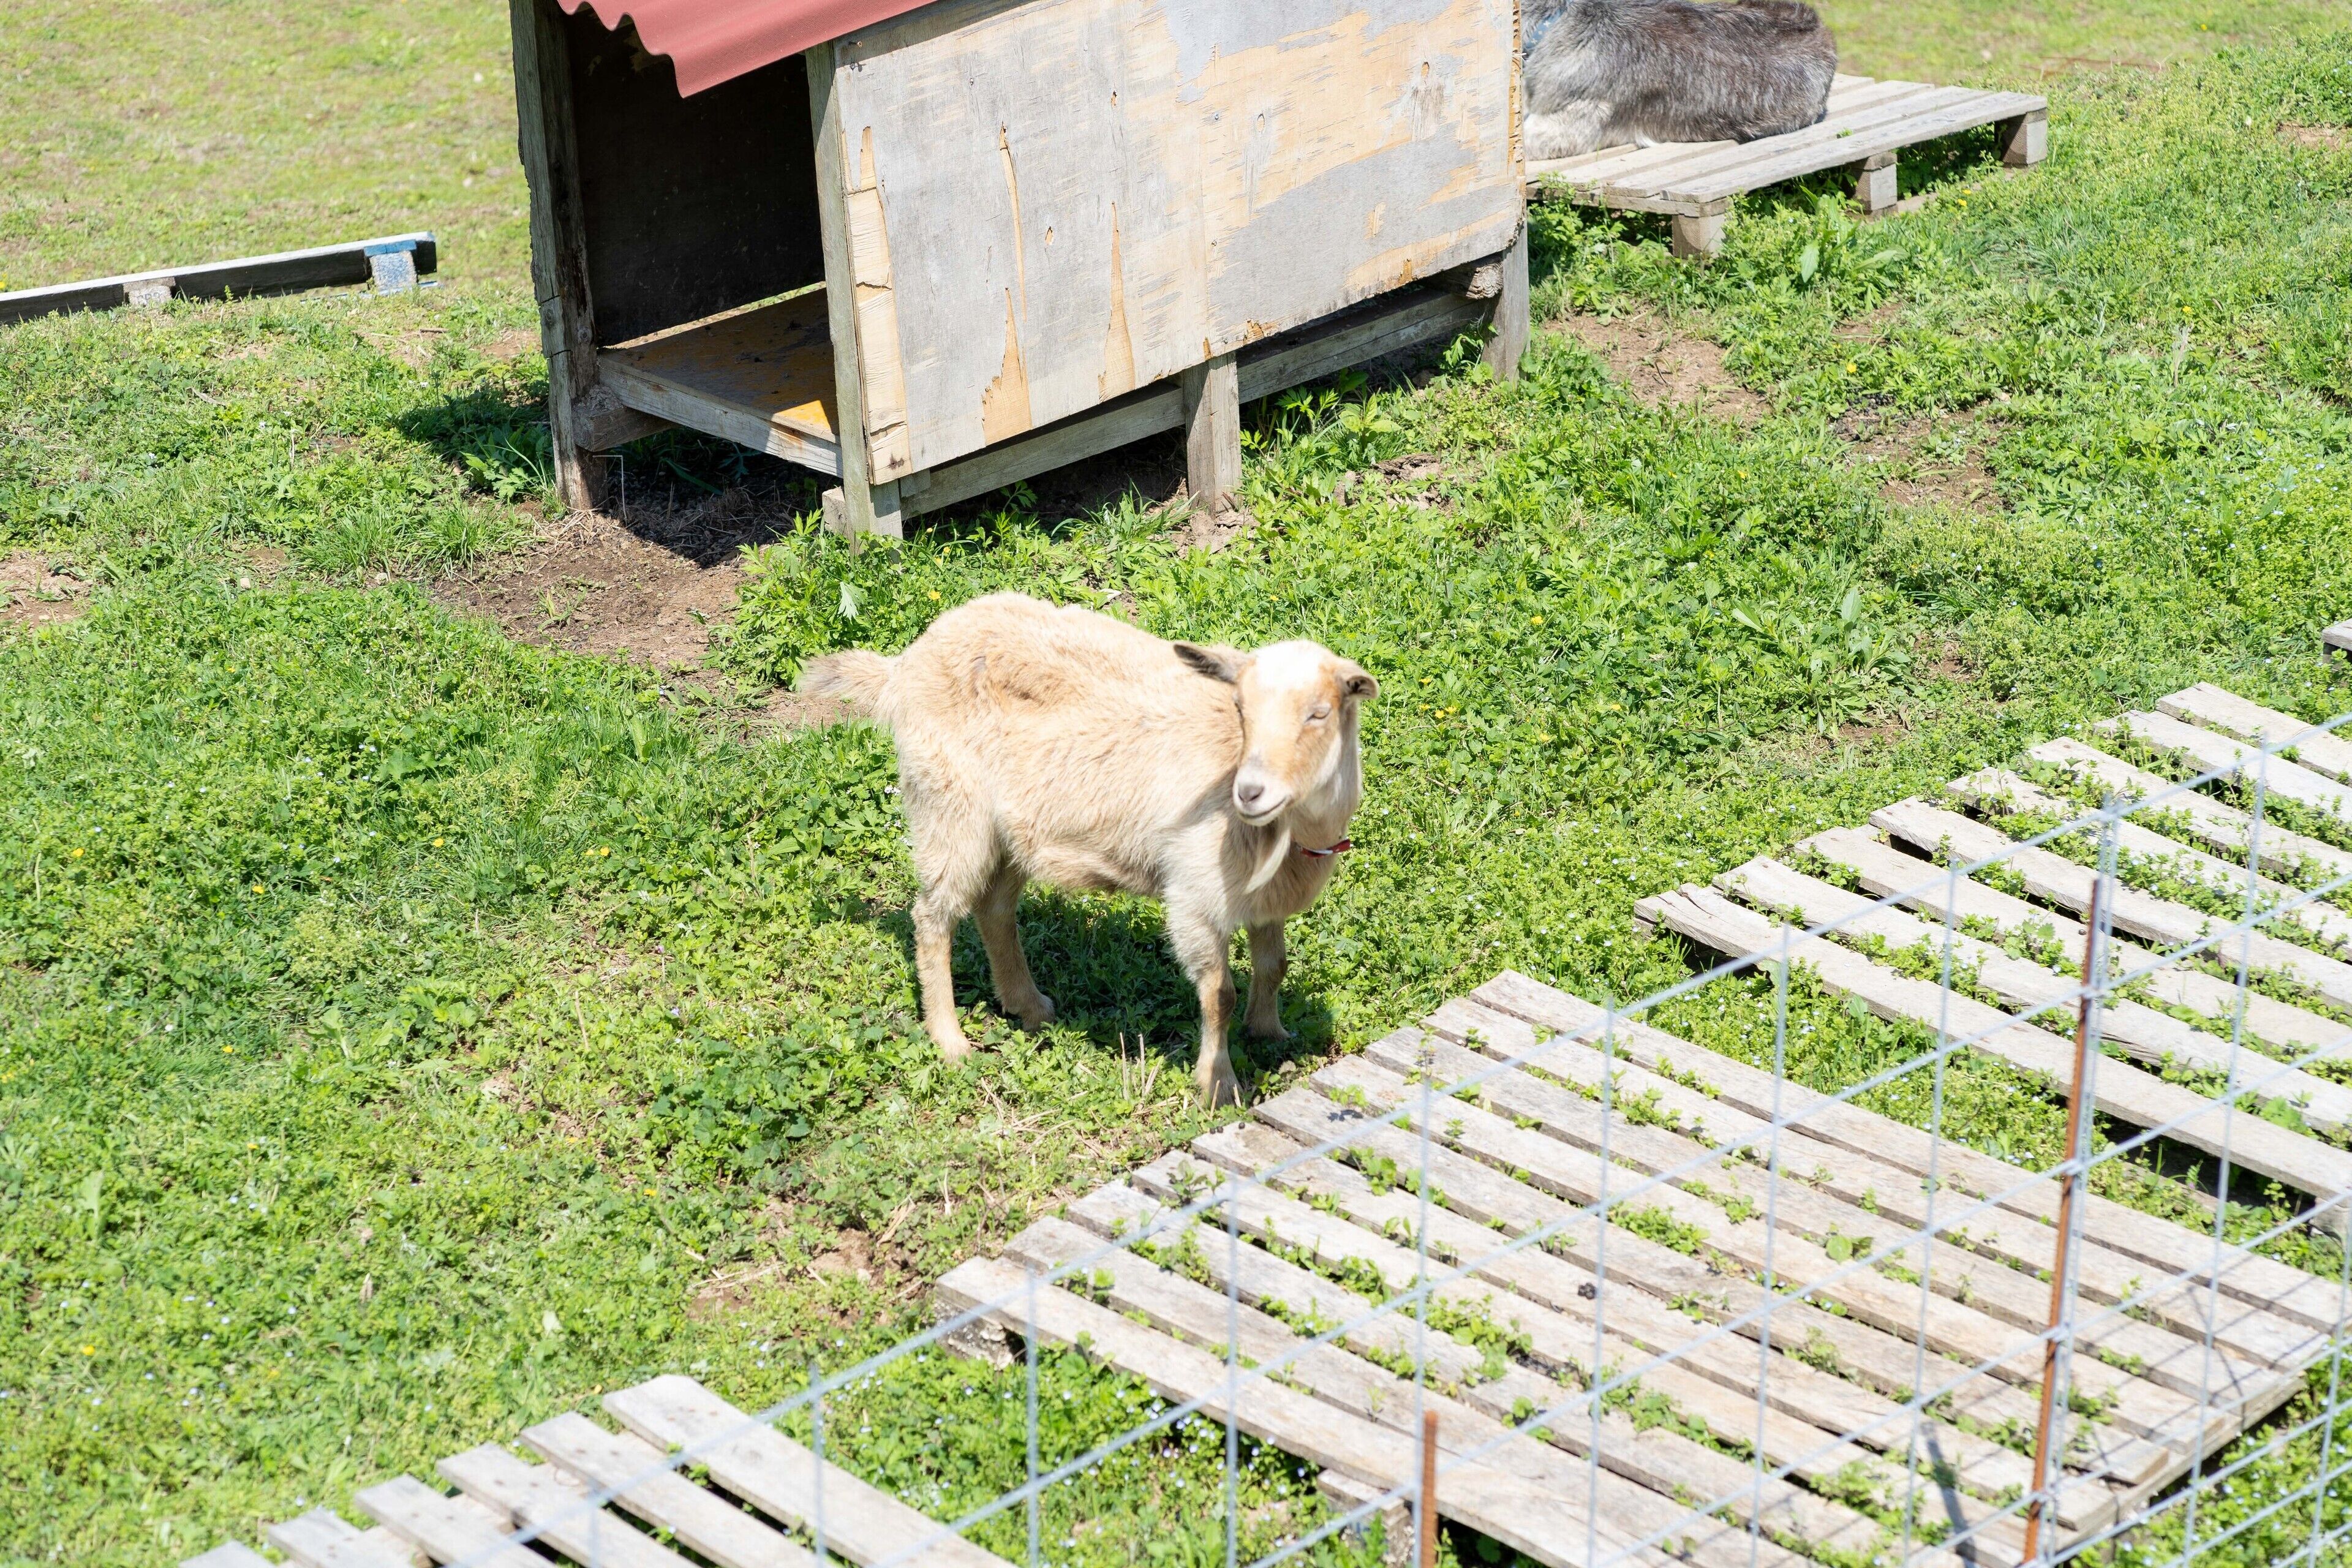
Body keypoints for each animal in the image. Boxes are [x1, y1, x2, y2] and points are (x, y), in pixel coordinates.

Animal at [799, 593, 1376, 1107]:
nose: (1250, 792)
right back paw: (951, 1041)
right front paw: (1219, 1084)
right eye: (1240, 709)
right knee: (933, 916)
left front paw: (1271, 1033)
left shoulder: (1265, 898)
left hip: (1011, 832)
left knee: (995, 908)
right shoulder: (1194, 894)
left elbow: (1274, 965)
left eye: (1319, 714)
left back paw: (1029, 1006)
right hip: (949, 807)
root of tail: (905, 664)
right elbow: (1219, 996)